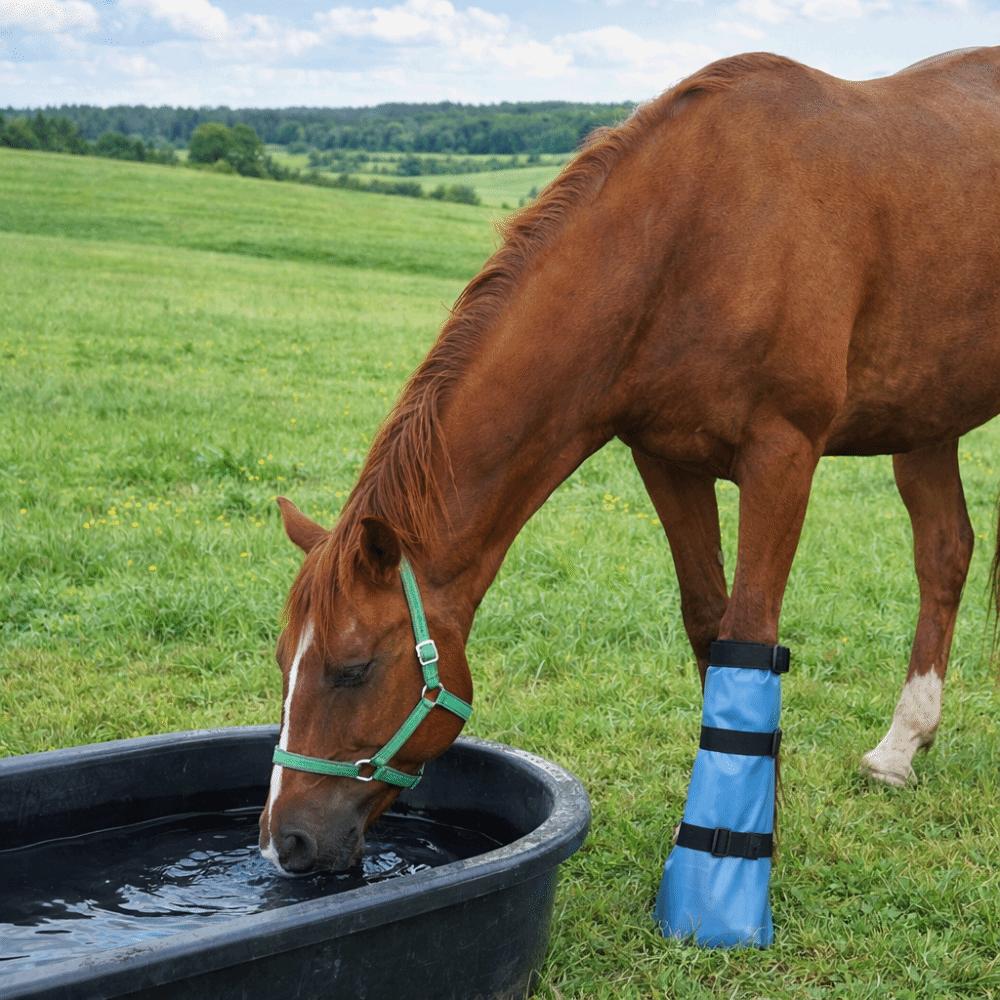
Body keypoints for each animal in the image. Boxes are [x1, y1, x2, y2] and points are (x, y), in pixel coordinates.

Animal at [259, 47, 1000, 873]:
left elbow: (752, 627)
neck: (691, 231)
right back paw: (901, 747)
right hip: (927, 417)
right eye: (285, 660)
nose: (286, 839)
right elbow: (711, 626)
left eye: (353, 669)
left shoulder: (783, 455)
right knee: (945, 554)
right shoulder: (667, 460)